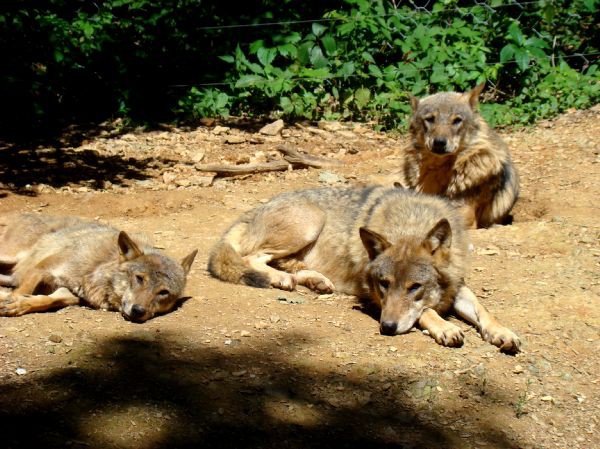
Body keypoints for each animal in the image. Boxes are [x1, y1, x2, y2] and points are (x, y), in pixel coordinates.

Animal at [0, 214, 198, 322]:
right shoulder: (41, 269)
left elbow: (47, 300)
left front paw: (18, 305)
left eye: (163, 292)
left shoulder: (69, 292)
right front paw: (13, 301)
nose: (138, 311)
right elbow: (22, 292)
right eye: (140, 278)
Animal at [209, 185, 516, 350]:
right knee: (252, 258)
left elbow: (483, 310)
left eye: (415, 287)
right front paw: (445, 327)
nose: (387, 327)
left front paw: (502, 332)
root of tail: (252, 211)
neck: (410, 224)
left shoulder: (457, 285)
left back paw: (316, 281)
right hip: (310, 223)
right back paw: (281, 280)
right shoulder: (372, 296)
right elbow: (426, 312)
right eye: (384, 284)